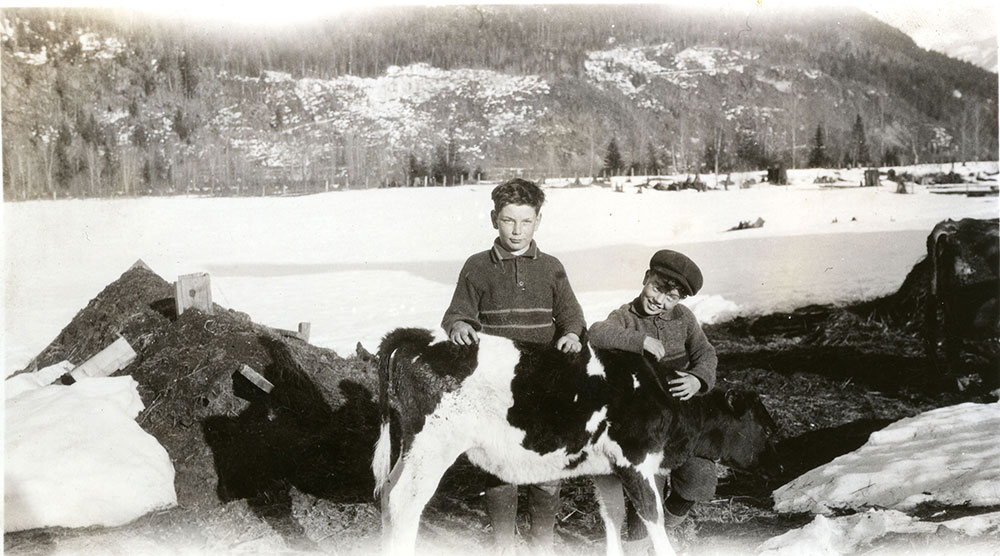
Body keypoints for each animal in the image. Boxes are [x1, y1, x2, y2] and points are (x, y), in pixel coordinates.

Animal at [372, 328, 776, 552]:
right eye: (767, 428)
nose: (781, 462)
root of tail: (416, 337)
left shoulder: (607, 470)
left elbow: (612, 516)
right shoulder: (635, 462)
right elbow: (652, 516)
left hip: (410, 449)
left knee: (388, 492)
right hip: (433, 445)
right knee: (404, 501)